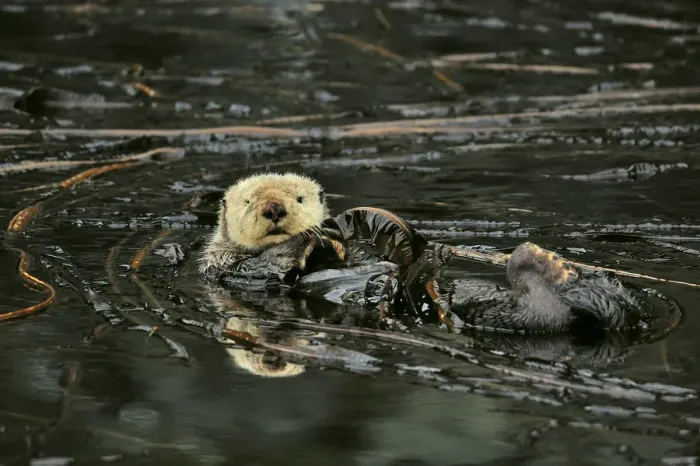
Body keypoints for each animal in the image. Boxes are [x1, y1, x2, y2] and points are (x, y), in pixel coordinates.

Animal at [200, 172, 654, 336]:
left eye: (298, 197)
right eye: (248, 201)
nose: (275, 209)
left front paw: (342, 233)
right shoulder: (226, 269)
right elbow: (268, 269)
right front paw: (312, 239)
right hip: (493, 311)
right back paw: (541, 263)